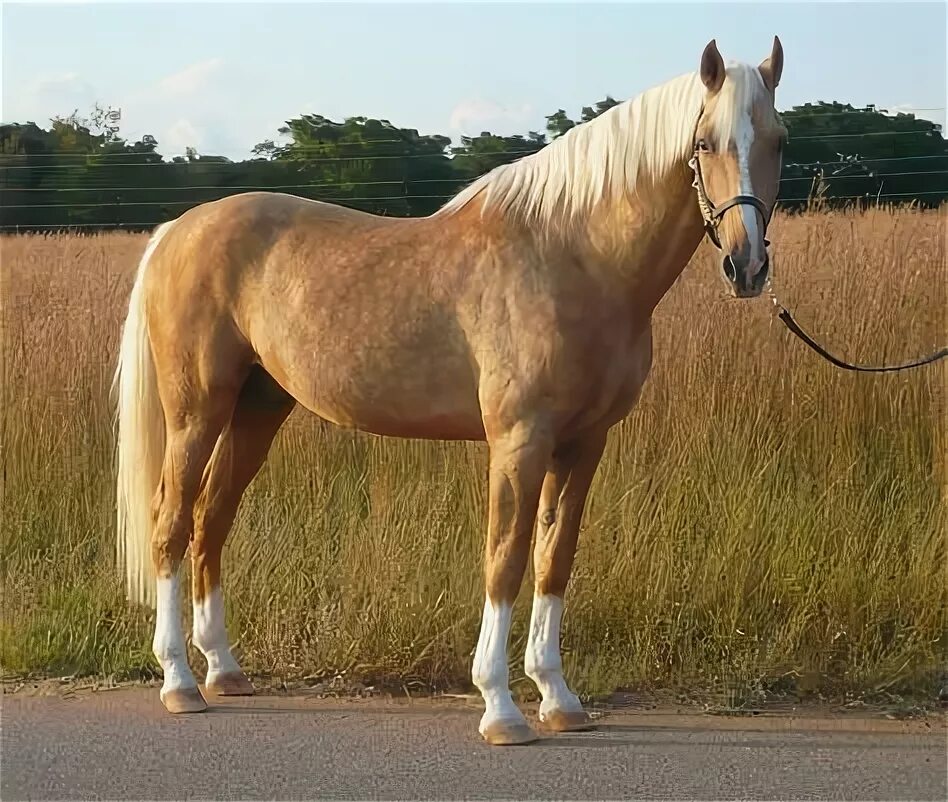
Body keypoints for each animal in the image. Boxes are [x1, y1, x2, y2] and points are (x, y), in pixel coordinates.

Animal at [115, 37, 788, 744]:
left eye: (779, 140)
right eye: (706, 142)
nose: (747, 266)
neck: (574, 257)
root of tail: (175, 230)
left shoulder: (584, 443)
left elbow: (555, 559)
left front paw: (559, 699)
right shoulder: (520, 441)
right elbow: (506, 559)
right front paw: (500, 706)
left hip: (257, 410)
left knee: (210, 522)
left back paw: (223, 670)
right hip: (196, 412)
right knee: (171, 523)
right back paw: (179, 682)